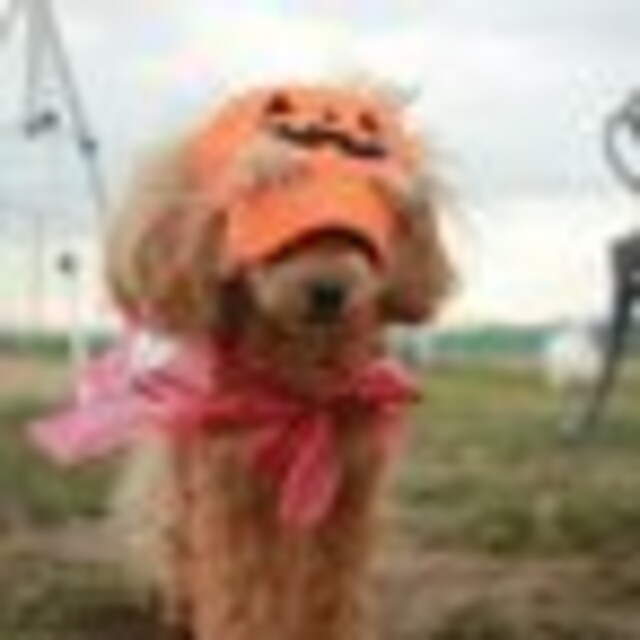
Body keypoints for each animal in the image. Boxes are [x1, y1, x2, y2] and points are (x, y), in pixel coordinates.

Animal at [35, 83, 452, 640]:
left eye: (361, 239)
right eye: (264, 207)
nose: (330, 292)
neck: (302, 387)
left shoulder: (348, 489)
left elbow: (330, 588)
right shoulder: (232, 485)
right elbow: (242, 589)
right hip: (185, 479)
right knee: (180, 546)